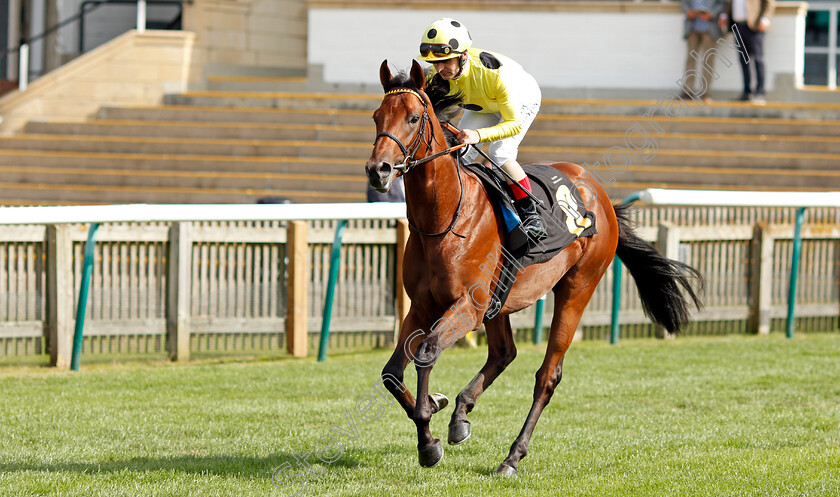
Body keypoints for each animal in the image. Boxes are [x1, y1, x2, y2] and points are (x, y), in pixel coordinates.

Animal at [366, 60, 704, 474]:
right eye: (377, 116)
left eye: (414, 118)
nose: (379, 170)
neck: (444, 219)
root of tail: (599, 194)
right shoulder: (423, 306)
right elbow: (391, 373)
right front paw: (435, 405)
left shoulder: (467, 307)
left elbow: (427, 352)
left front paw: (428, 441)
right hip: (500, 302)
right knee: (503, 353)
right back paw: (461, 414)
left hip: (577, 288)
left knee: (547, 376)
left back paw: (512, 456)